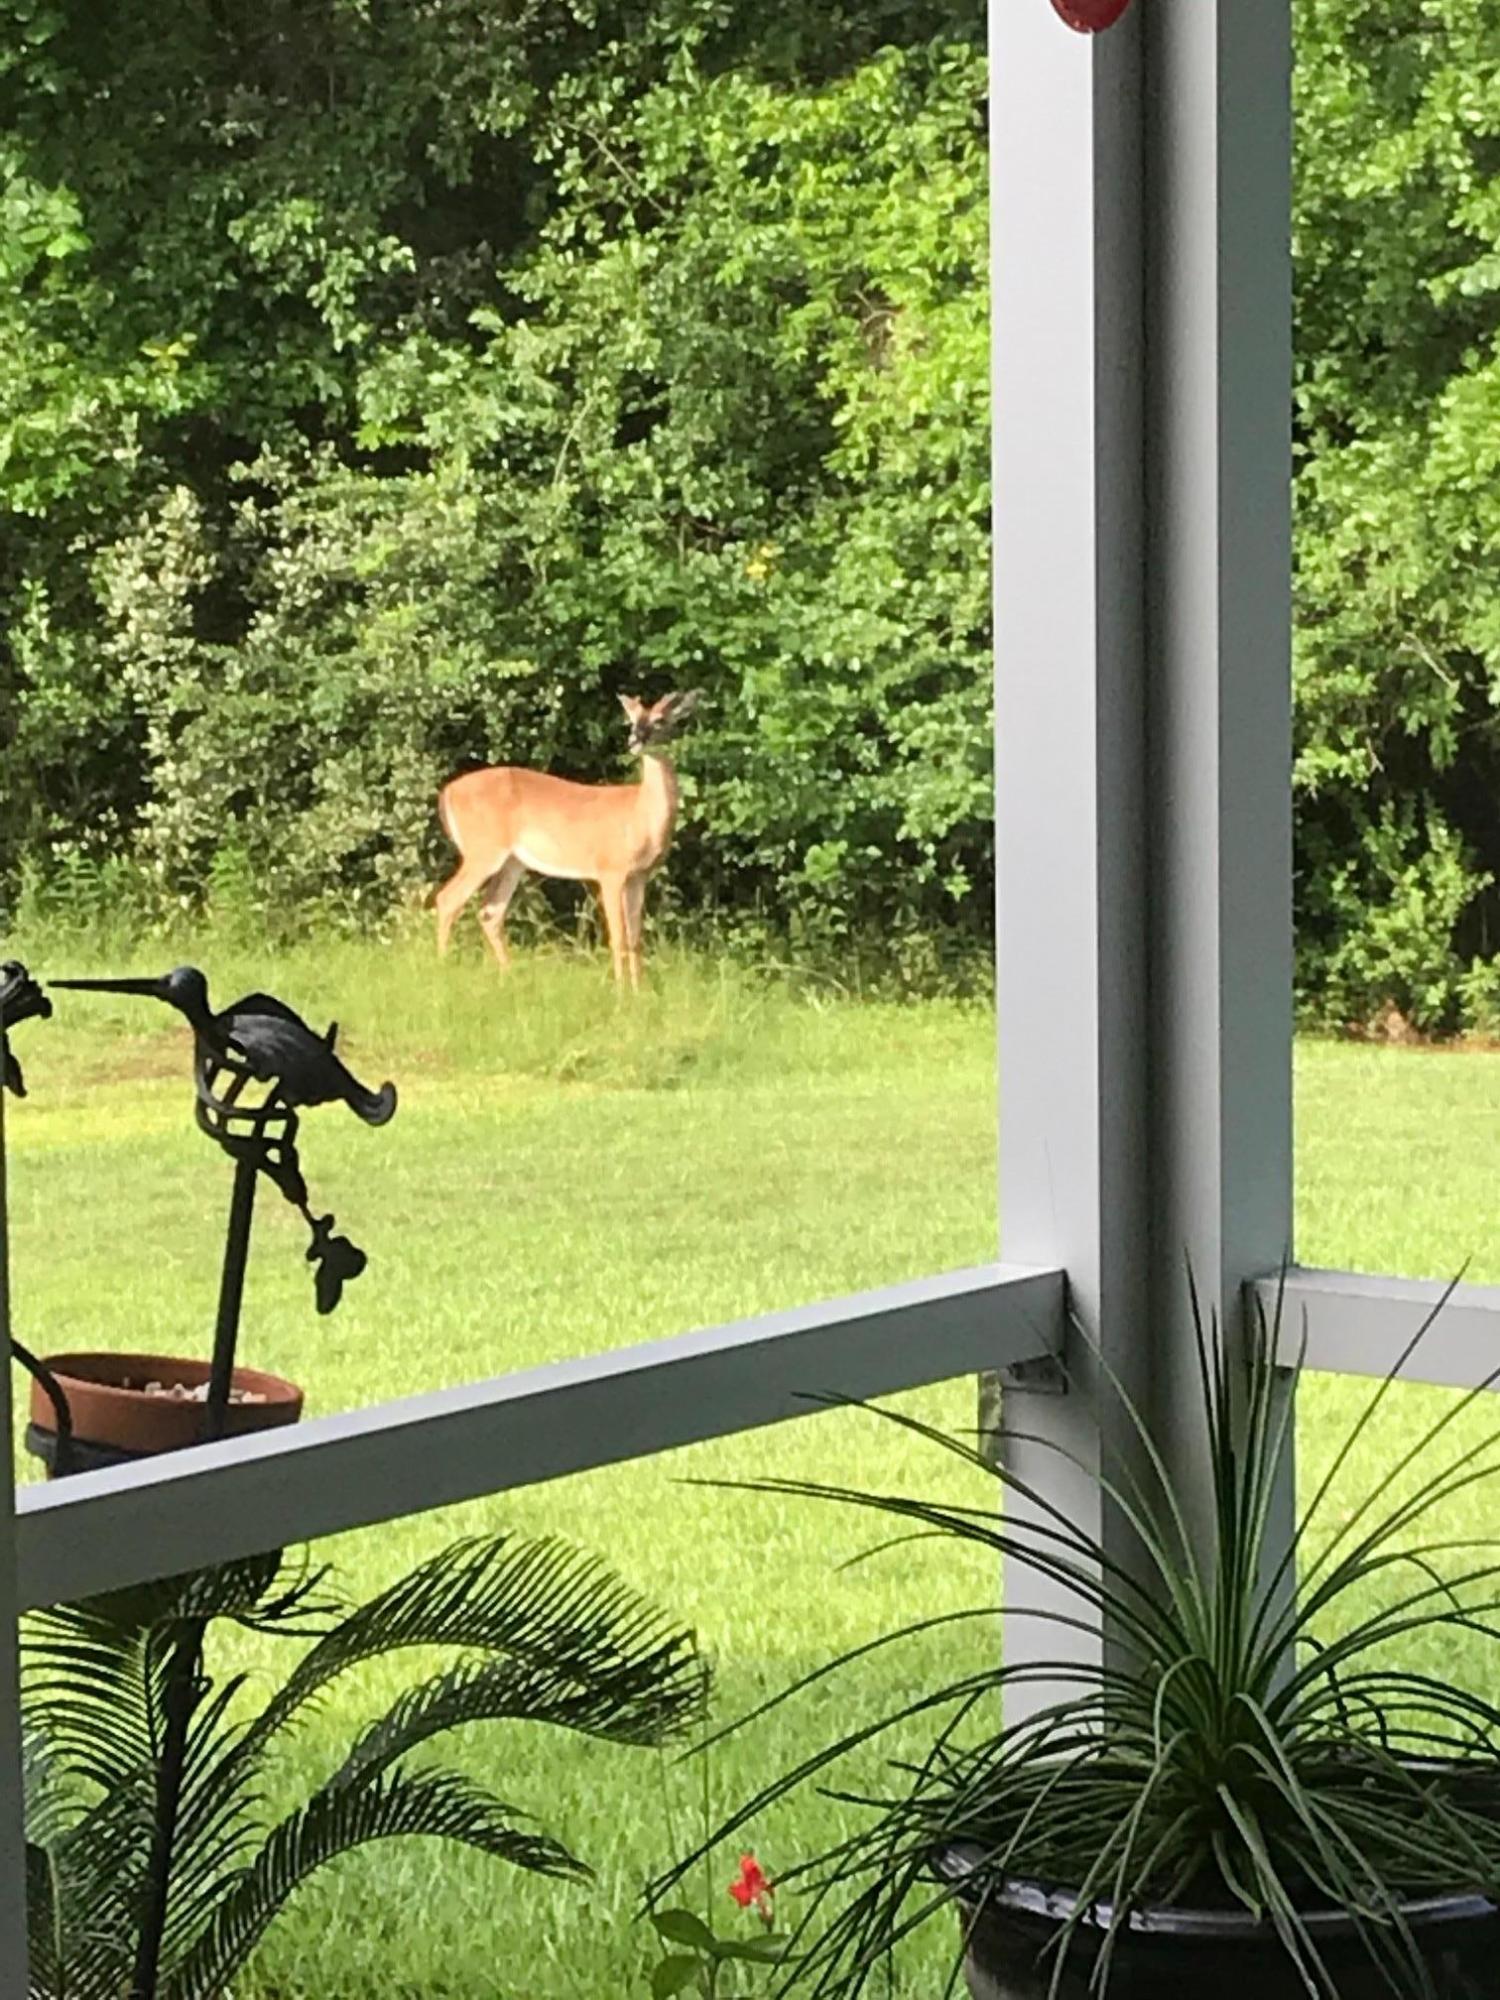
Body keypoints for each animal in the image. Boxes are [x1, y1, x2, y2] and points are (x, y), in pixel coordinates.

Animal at [433, 689, 702, 987]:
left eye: (659, 720)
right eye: (632, 721)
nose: (634, 740)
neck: (640, 814)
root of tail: (447, 793)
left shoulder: (638, 876)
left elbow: (635, 939)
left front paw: (639, 990)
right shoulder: (610, 870)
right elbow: (618, 938)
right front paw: (620, 991)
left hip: (513, 862)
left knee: (490, 912)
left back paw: (510, 976)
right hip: (483, 850)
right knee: (448, 899)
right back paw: (441, 968)